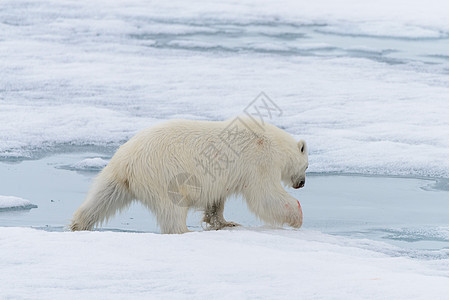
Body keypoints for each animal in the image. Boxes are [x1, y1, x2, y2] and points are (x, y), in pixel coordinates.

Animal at [69, 118, 308, 234]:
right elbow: (265, 195)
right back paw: (184, 231)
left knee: (101, 198)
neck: (274, 143)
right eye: (307, 166)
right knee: (172, 209)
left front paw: (225, 223)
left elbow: (216, 202)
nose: (302, 183)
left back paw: (78, 225)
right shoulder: (260, 162)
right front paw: (297, 216)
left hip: (115, 176)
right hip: (165, 175)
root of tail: (127, 163)